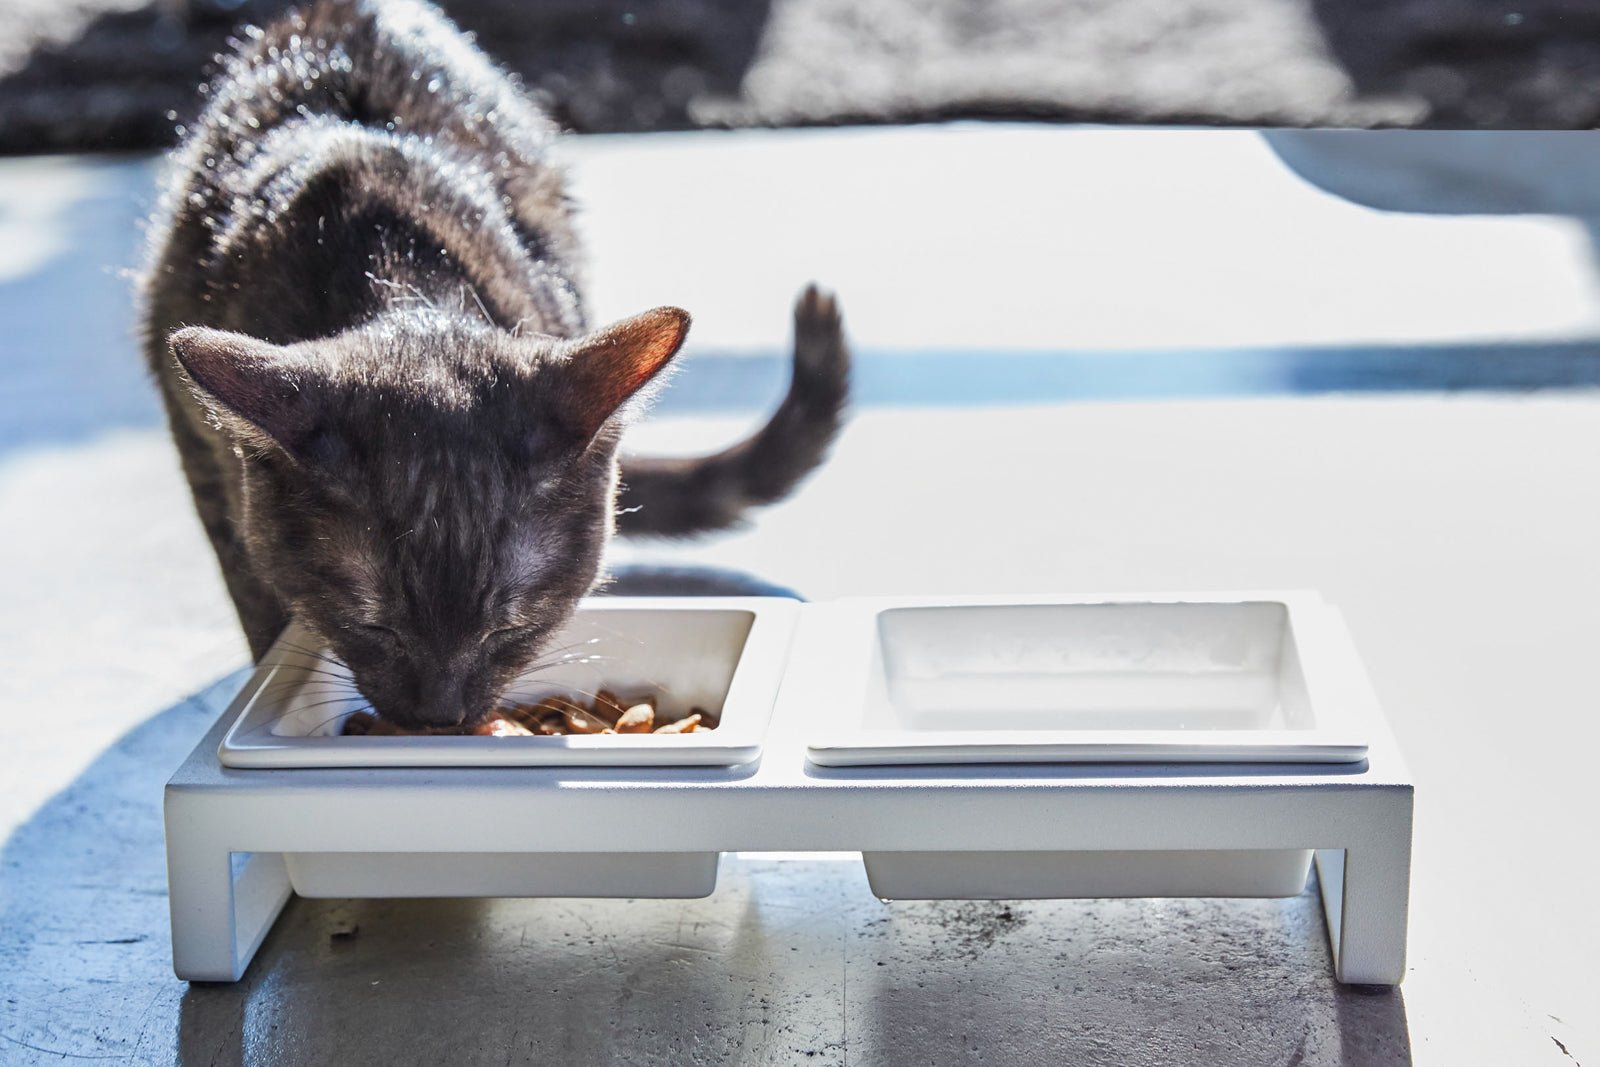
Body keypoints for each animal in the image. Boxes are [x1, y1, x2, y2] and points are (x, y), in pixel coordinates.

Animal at [140, 0, 851, 729]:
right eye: (373, 626)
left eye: (510, 628)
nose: (439, 717)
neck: (398, 274)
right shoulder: (200, 443)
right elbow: (255, 589)